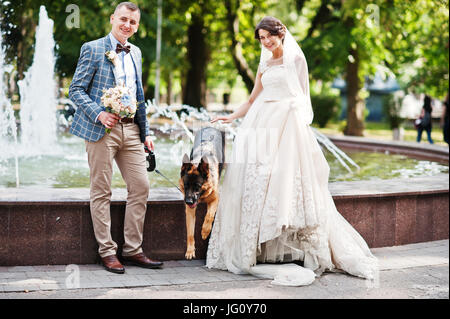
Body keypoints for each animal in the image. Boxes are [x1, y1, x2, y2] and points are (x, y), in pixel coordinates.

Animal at [179, 127, 225, 260]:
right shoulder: (189, 211)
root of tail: (211, 127)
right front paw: (190, 250)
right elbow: (190, 232)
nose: (188, 201)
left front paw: (205, 231)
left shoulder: (215, 199)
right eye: (186, 186)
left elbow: (209, 216)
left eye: (197, 187)